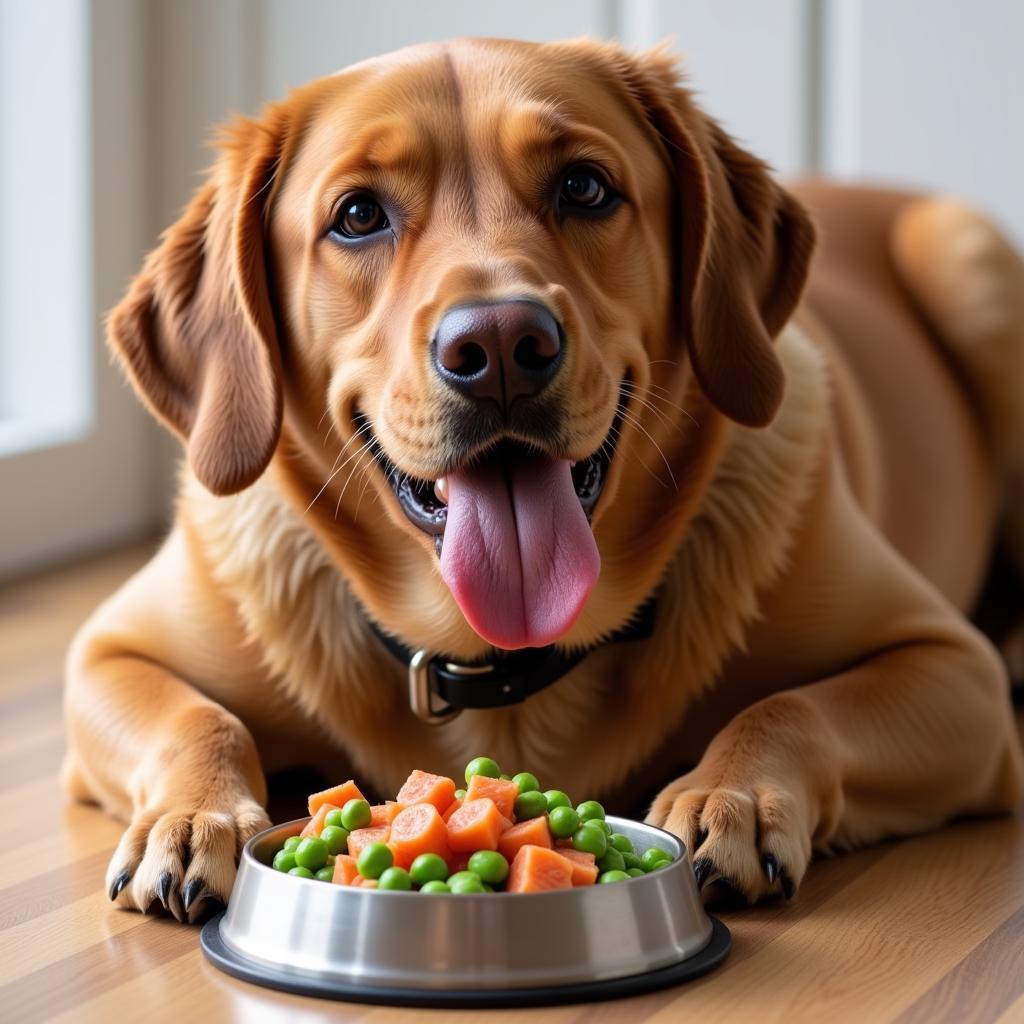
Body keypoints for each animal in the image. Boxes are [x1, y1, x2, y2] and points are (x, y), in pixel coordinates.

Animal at [66, 37, 1024, 921]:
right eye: (358, 214)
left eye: (585, 188)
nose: (497, 346)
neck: (497, 661)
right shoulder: (110, 652)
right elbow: (201, 718)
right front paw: (192, 818)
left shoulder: (953, 671)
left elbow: (788, 707)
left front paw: (734, 794)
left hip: (972, 267)